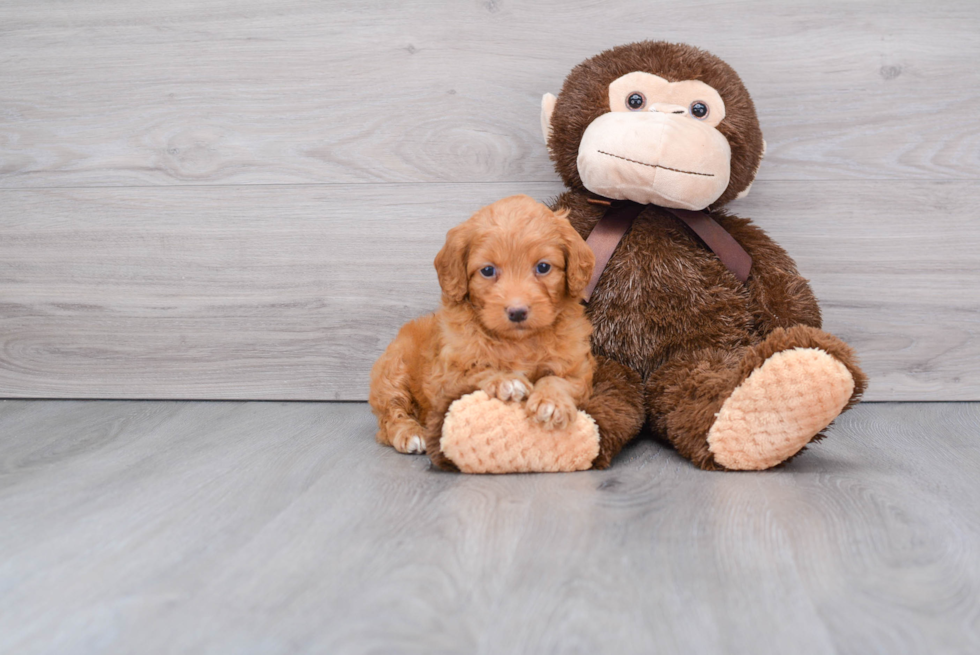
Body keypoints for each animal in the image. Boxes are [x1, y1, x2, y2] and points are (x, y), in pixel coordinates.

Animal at [370, 193, 592, 466]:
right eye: (487, 270)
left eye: (543, 267)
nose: (517, 312)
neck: (518, 341)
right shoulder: (446, 376)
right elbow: (478, 371)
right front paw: (506, 381)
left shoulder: (577, 369)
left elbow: (558, 379)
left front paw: (551, 402)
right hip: (392, 370)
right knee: (390, 414)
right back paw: (410, 433)